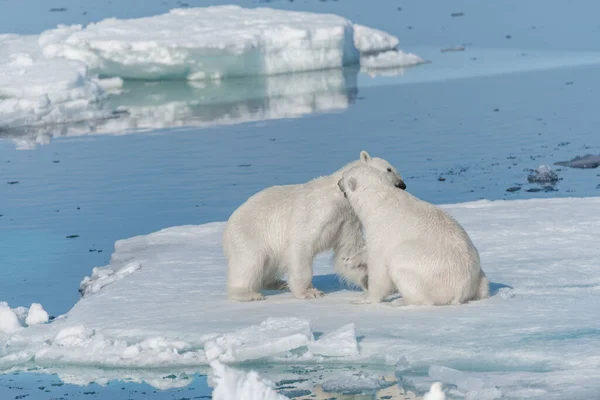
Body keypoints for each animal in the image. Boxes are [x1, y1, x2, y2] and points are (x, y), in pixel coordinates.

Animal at [223, 152, 406, 302]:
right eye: (389, 169)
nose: (402, 185)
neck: (338, 199)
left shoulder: (347, 220)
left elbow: (347, 249)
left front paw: (366, 279)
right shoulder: (316, 213)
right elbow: (301, 245)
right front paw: (310, 292)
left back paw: (276, 282)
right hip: (249, 234)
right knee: (249, 262)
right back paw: (248, 294)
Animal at [338, 166, 488, 306]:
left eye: (343, 176)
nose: (338, 183)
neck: (377, 199)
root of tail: (462, 289)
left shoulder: (381, 228)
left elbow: (378, 266)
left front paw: (364, 299)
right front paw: (348, 260)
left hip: (425, 269)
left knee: (401, 267)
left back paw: (400, 301)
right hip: (478, 276)